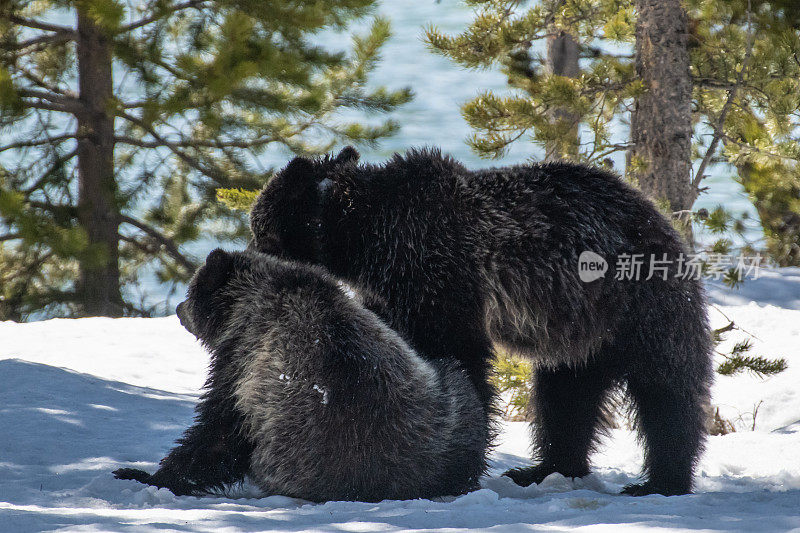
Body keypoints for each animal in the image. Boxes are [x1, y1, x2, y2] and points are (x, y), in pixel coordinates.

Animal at [111, 248, 488, 498]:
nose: (178, 308)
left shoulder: (242, 363)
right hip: (449, 418)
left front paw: (146, 475)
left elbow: (218, 430)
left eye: (191, 289)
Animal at [250, 144, 712, 494]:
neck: (368, 239)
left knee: (665, 393)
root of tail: (660, 217)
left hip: (638, 307)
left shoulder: (438, 273)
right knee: (565, 398)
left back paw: (660, 481)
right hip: (580, 336)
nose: (251, 254)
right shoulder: (392, 289)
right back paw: (544, 469)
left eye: (261, 230)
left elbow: (455, 354)